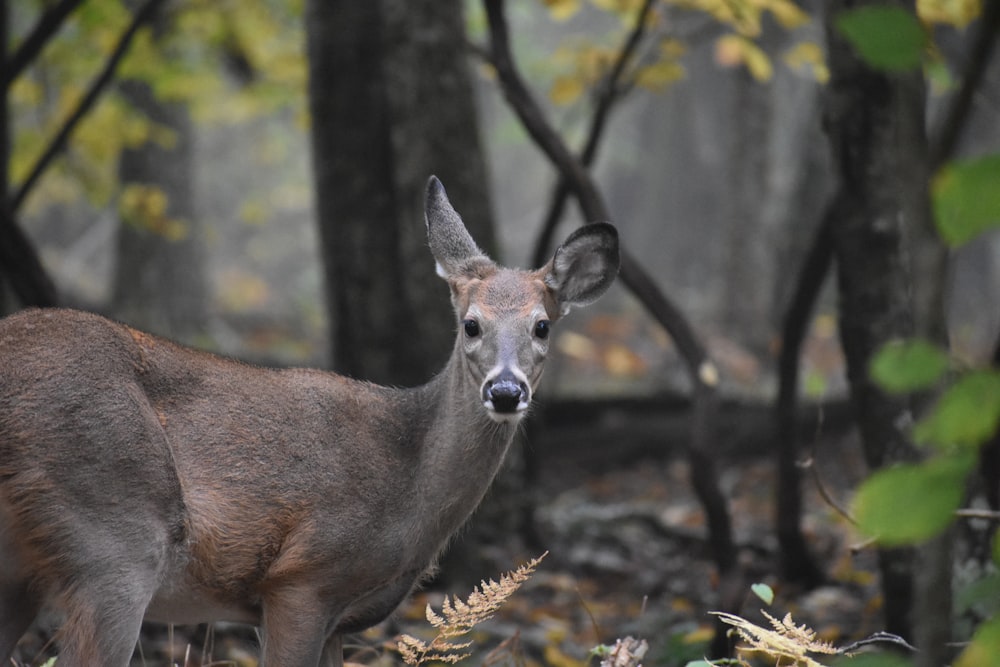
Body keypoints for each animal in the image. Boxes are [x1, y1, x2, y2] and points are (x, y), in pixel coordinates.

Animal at [0, 177, 616, 667]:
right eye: (470, 324)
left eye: (542, 326)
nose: (506, 391)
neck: (407, 479)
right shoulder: (302, 580)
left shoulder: (336, 619)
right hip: (114, 527)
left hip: (29, 565)